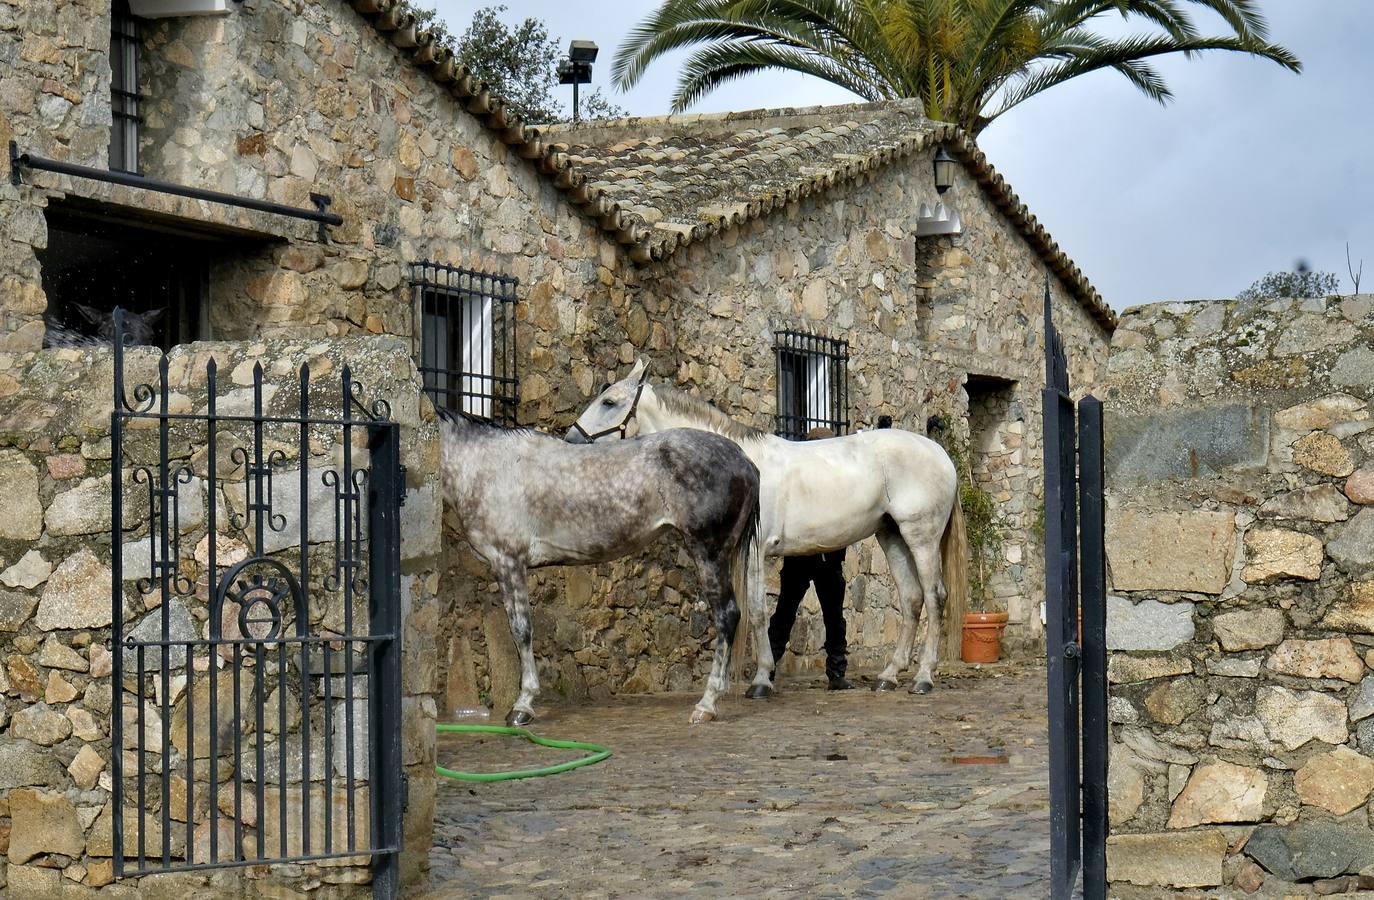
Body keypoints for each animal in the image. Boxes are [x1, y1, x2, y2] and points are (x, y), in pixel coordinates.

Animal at [439, 409, 763, 725]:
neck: (487, 466)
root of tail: (745, 461)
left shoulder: (509, 561)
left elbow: (521, 631)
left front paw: (523, 706)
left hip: (709, 554)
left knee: (727, 615)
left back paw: (706, 704)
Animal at [566, 360, 967, 698]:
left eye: (609, 401)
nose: (570, 442)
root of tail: (940, 453)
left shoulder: (756, 550)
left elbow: (758, 612)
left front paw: (759, 681)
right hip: (892, 535)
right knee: (912, 599)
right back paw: (889, 676)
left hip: (921, 537)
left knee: (935, 597)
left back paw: (923, 678)